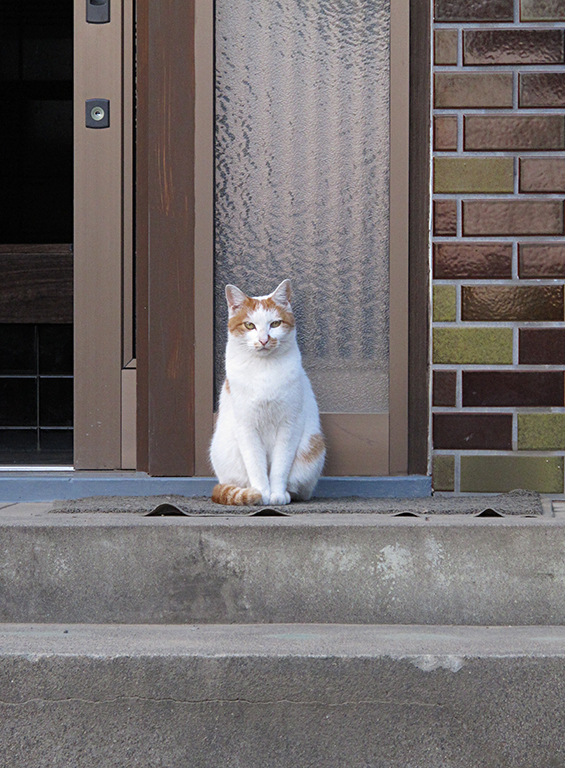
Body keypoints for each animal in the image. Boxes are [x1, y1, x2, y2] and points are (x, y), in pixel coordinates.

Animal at [210, 280, 326, 508]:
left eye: (275, 324)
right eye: (249, 325)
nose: (264, 340)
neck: (264, 370)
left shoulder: (289, 425)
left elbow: (280, 466)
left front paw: (277, 494)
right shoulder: (246, 426)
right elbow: (256, 464)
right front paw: (261, 493)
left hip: (313, 448)